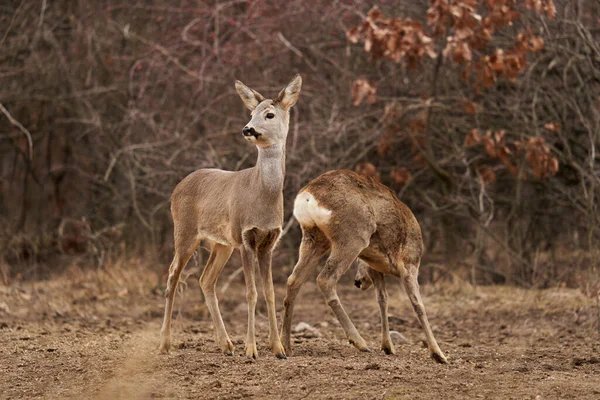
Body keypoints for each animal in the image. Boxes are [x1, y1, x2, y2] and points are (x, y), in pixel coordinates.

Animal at [159, 74, 302, 360]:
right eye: (251, 112)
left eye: (269, 114)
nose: (248, 129)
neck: (262, 196)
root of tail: (177, 187)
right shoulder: (245, 237)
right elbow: (251, 292)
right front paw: (252, 349)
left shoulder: (269, 242)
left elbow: (270, 292)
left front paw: (278, 348)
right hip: (185, 232)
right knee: (172, 277)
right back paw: (165, 344)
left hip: (221, 244)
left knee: (205, 280)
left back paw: (225, 344)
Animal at [280, 170, 446, 364]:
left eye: (361, 264)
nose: (357, 281)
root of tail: (308, 195)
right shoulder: (409, 264)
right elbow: (418, 305)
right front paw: (439, 354)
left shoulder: (376, 269)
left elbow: (382, 300)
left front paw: (388, 347)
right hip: (352, 237)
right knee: (324, 279)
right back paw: (360, 342)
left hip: (314, 237)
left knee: (293, 280)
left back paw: (285, 346)